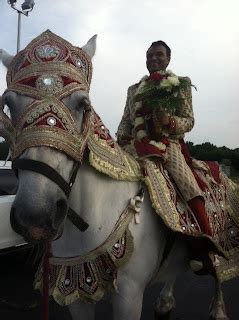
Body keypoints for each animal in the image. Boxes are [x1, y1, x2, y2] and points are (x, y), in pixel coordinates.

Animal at [0, 33, 230, 318]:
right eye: (8, 105)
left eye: (83, 105)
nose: (35, 217)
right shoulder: (76, 294)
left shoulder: (129, 295)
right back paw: (165, 301)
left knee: (219, 269)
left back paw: (218, 309)